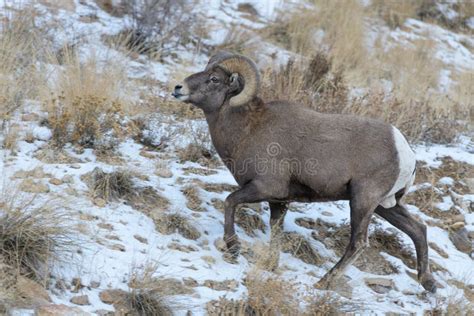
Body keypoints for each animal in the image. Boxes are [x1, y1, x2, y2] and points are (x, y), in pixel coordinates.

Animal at [172, 51, 436, 292]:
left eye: (214, 79)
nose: (178, 88)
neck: (248, 129)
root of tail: (405, 152)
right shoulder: (279, 201)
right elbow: (276, 232)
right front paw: (271, 266)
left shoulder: (264, 187)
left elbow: (229, 201)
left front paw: (234, 247)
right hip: (385, 205)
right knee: (418, 229)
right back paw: (428, 283)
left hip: (362, 201)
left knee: (358, 243)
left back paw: (323, 282)